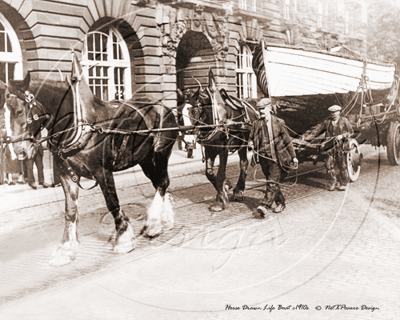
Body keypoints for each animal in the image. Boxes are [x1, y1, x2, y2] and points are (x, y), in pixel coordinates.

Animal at [5, 53, 178, 266]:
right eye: (4, 111)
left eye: (19, 111)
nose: (19, 150)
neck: (77, 125)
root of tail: (164, 108)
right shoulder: (66, 174)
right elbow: (70, 210)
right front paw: (66, 249)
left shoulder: (102, 171)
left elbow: (112, 203)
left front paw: (123, 239)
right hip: (145, 160)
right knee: (159, 183)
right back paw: (163, 220)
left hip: (160, 155)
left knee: (162, 182)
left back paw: (154, 223)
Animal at [181, 69, 260, 211]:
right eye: (180, 112)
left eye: (194, 111)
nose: (188, 140)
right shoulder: (209, 148)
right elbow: (209, 173)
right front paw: (225, 187)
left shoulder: (224, 149)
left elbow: (220, 173)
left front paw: (221, 199)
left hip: (243, 143)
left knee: (243, 163)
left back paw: (239, 191)